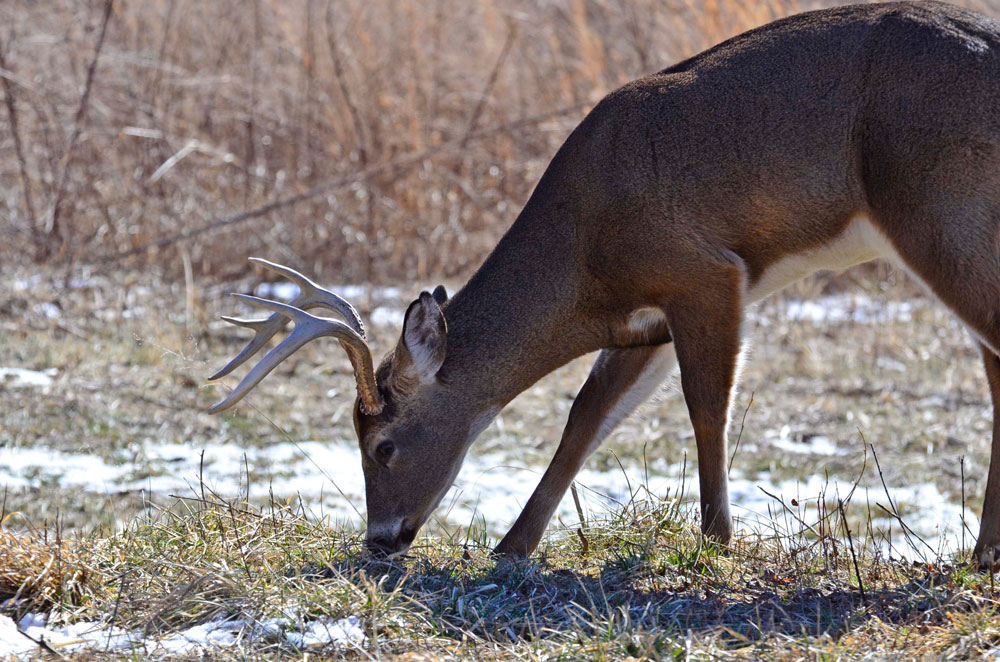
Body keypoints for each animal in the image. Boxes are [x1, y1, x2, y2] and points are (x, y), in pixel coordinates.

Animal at [213, 2, 1000, 568]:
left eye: (382, 445)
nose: (379, 539)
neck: (583, 255)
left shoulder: (704, 272)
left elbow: (705, 408)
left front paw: (716, 541)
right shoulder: (642, 322)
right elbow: (585, 419)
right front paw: (512, 546)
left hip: (939, 210)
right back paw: (982, 553)